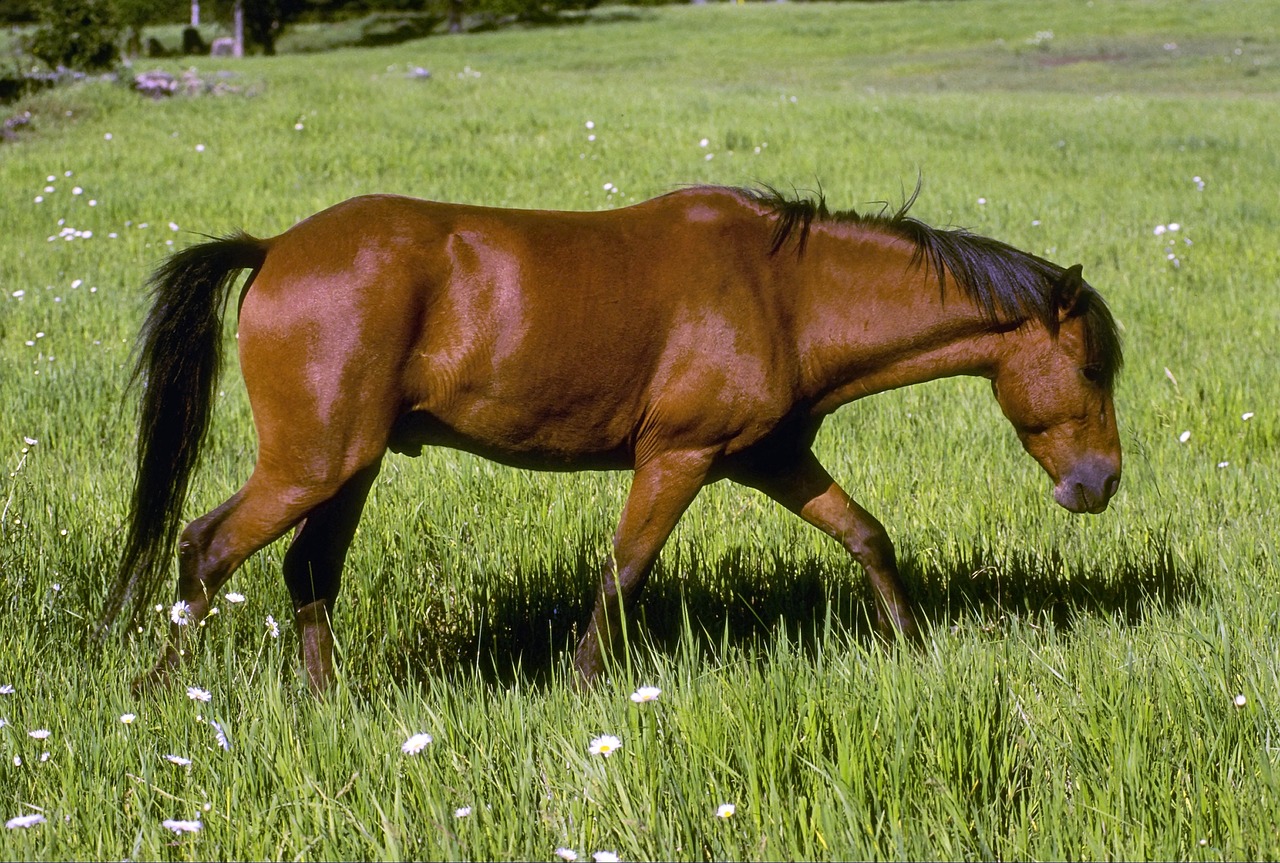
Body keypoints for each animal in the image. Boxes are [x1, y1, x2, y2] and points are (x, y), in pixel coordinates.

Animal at [99, 185, 1123, 692]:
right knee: (207, 547)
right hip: (309, 465)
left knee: (307, 569)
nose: (1101, 483)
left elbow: (867, 533)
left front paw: (911, 646)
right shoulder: (680, 455)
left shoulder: (772, 458)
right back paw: (164, 692)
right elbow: (625, 569)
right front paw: (587, 685)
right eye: (1092, 368)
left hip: (348, 467)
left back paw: (325, 700)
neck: (785, 292)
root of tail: (274, 248)